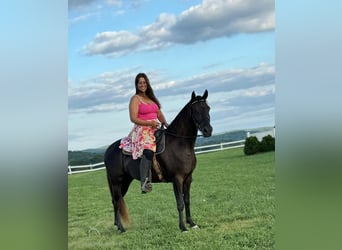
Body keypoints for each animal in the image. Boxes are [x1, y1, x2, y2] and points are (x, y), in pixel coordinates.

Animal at [103, 90, 212, 232]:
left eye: (208, 108)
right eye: (194, 110)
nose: (207, 130)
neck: (179, 143)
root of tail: (108, 151)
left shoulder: (188, 179)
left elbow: (187, 201)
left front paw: (192, 223)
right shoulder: (177, 179)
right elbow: (180, 203)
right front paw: (183, 227)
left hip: (125, 182)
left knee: (116, 201)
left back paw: (117, 225)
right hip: (117, 182)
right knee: (116, 201)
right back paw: (121, 228)